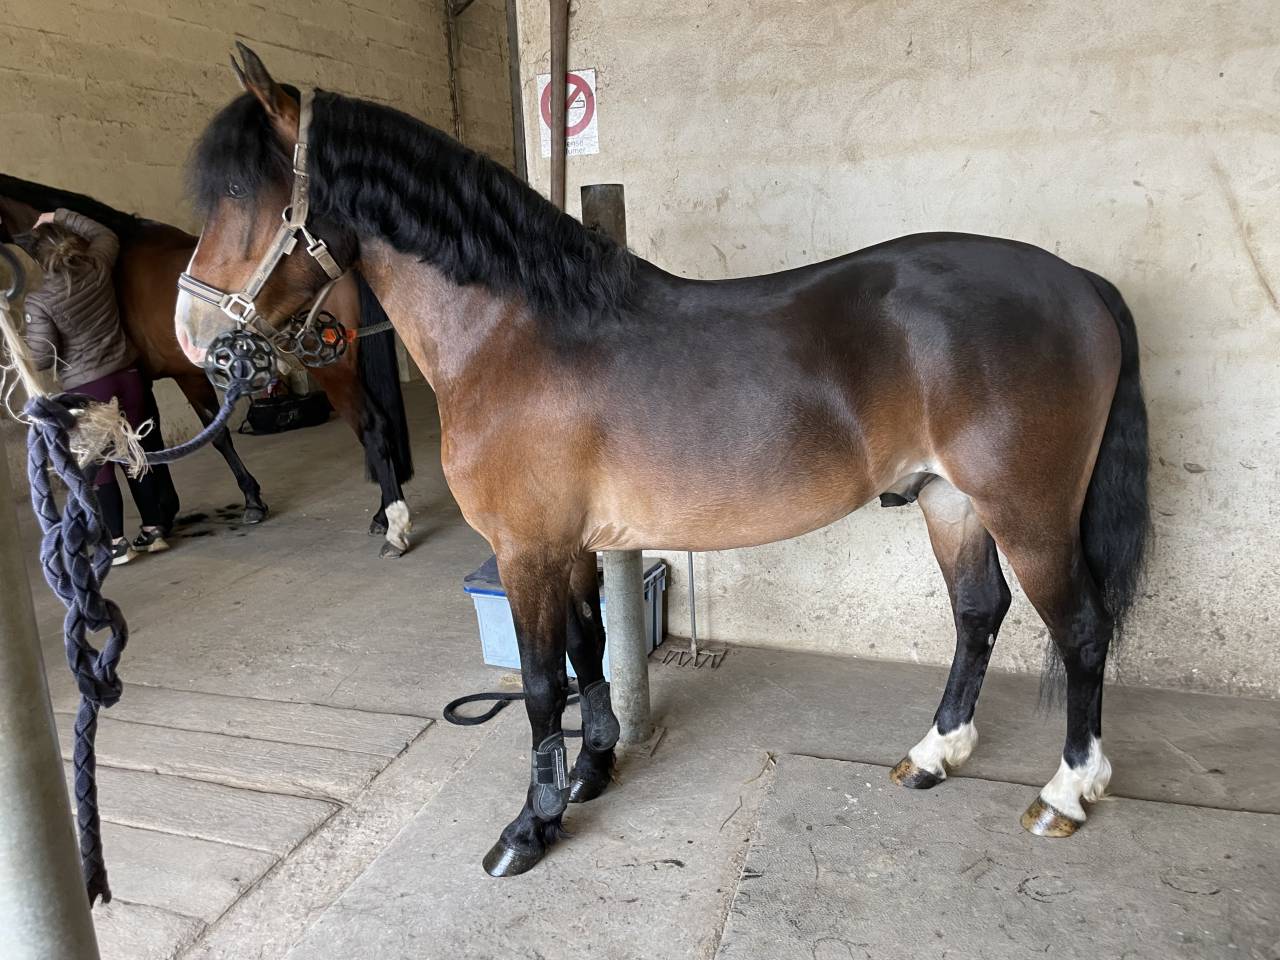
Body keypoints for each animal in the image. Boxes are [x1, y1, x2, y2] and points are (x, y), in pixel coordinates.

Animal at [0, 175, 415, 557]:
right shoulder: (165, 377)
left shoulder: (158, 377)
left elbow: (175, 441)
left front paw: (175, 516)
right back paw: (383, 513)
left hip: (333, 370)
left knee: (372, 427)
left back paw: (391, 522)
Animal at [175, 44, 1149, 877]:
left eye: (242, 191)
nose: (197, 341)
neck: (515, 336)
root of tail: (1078, 283)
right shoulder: (566, 547)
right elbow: (590, 650)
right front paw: (591, 772)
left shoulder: (527, 549)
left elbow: (540, 685)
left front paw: (528, 830)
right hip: (950, 500)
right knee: (979, 613)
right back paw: (934, 754)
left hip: (1027, 511)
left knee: (1080, 629)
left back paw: (1067, 792)